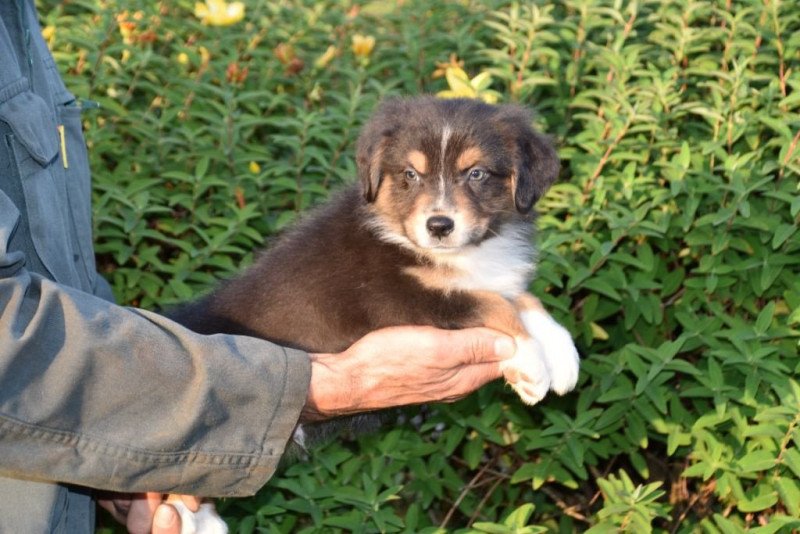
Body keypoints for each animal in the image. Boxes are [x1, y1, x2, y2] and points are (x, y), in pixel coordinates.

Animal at [170, 96, 580, 534]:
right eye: (410, 174)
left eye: (477, 173)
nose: (439, 225)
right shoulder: (404, 299)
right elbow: (494, 305)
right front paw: (530, 367)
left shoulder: (484, 279)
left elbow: (523, 300)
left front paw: (563, 358)